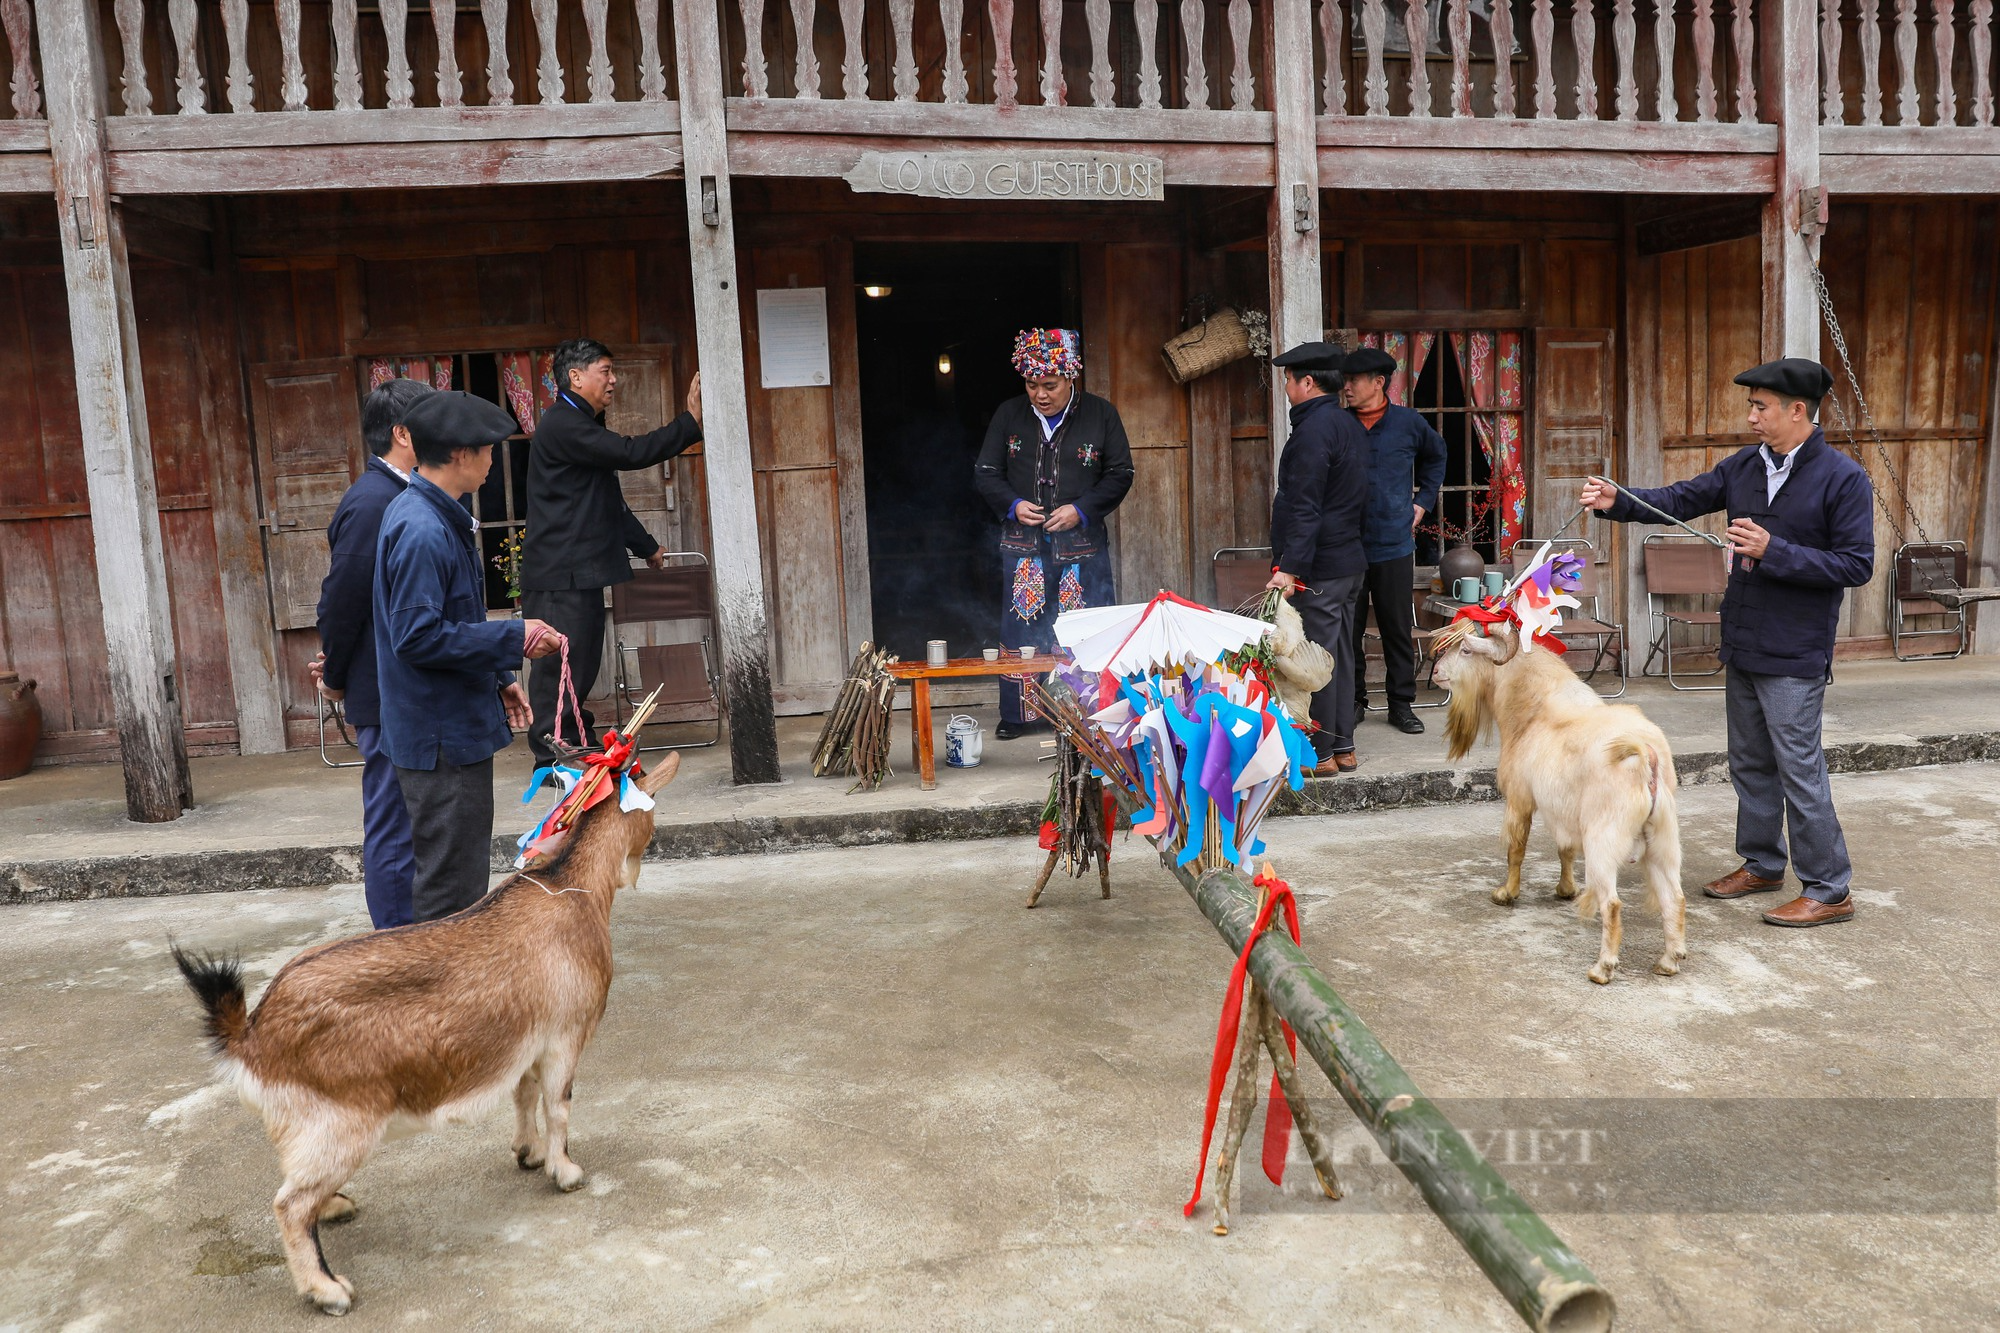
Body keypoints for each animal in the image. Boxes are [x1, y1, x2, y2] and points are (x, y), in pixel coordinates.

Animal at [168, 748, 680, 1304]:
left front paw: (527, 1152)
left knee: (298, 1183)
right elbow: (558, 1105)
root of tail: (251, 1034)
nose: (651, 847)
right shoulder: (566, 1035)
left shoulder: (526, 1039)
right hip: (342, 1121)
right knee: (289, 1205)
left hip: (309, 1123)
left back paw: (335, 1205)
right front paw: (565, 1172)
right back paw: (328, 1289)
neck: (573, 886)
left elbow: (523, 1094)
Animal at [1440, 616, 1688, 980]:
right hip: (1662, 840)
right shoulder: (1564, 813)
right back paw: (1669, 961)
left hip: (1604, 840)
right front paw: (1565, 890)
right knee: (1674, 897)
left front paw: (1506, 894)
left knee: (1612, 903)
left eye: (1466, 650)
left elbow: (1516, 849)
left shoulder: (1520, 798)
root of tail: (1646, 755)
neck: (1535, 708)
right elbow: (1566, 850)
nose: (1436, 672)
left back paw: (1602, 969)